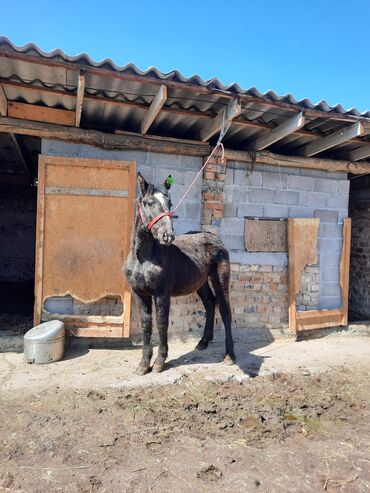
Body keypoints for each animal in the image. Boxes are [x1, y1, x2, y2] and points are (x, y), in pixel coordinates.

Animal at [123, 173, 234, 372]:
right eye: (148, 203)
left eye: (170, 202)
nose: (168, 235)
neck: (144, 258)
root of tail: (213, 237)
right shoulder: (140, 294)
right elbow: (146, 325)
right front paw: (143, 365)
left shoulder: (162, 294)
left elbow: (161, 323)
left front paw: (159, 362)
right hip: (201, 283)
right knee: (210, 303)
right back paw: (203, 341)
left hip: (220, 279)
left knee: (224, 309)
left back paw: (229, 355)